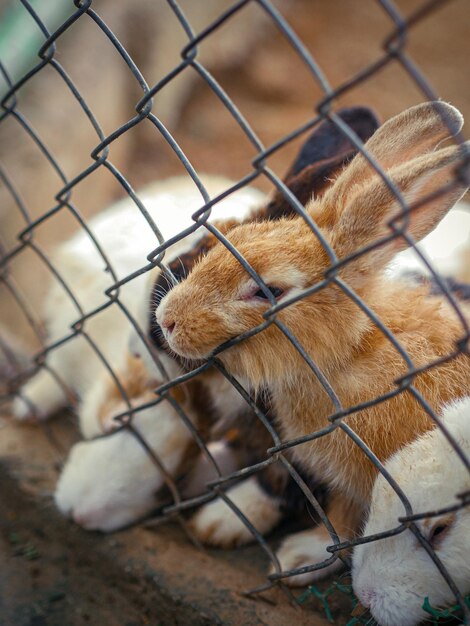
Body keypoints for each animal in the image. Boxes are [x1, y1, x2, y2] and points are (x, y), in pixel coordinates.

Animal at [156, 100, 470, 584]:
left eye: (268, 291)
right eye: (234, 240)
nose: (166, 319)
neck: (348, 353)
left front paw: (298, 562)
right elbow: (342, 515)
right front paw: (301, 555)